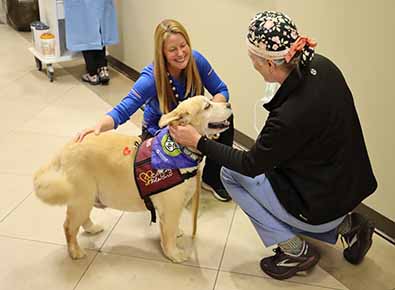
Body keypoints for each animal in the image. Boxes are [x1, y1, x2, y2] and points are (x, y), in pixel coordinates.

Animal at [34, 96, 234, 264]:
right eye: (207, 106)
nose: (229, 104)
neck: (179, 149)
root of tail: (65, 148)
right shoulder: (170, 209)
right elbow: (168, 235)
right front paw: (174, 254)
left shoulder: (175, 207)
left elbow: (173, 227)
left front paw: (177, 233)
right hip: (81, 198)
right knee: (69, 227)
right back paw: (75, 251)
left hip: (86, 198)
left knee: (81, 220)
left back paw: (92, 228)